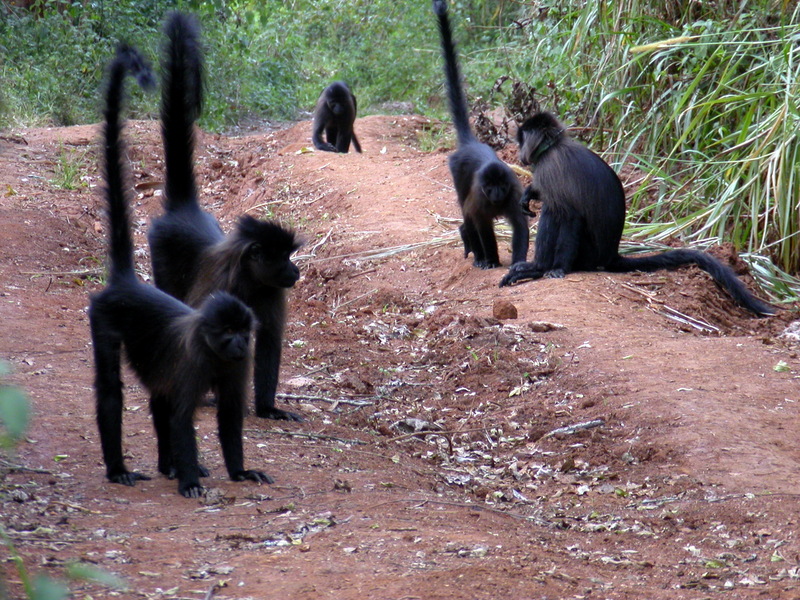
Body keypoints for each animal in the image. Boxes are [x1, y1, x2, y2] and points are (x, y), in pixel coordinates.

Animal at [89, 44, 274, 500]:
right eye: (228, 333)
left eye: (243, 333)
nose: (239, 343)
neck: (213, 352)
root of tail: (127, 281)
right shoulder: (192, 362)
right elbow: (181, 415)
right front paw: (191, 480)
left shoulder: (237, 364)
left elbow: (229, 415)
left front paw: (238, 471)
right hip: (104, 315)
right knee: (113, 390)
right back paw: (122, 468)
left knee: (157, 394)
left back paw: (167, 466)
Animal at [147, 11, 304, 422]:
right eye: (282, 257)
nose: (296, 270)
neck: (250, 279)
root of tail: (184, 211)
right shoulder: (226, 284)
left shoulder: (271, 290)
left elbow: (267, 342)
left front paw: (268, 408)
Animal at [432, 0, 532, 268]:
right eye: (490, 187)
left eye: (501, 186)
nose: (496, 195)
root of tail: (470, 144)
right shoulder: (479, 198)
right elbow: (481, 225)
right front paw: (492, 260)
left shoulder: (513, 192)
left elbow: (520, 226)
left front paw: (518, 263)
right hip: (457, 173)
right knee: (467, 217)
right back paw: (476, 251)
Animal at [500, 113, 776, 318]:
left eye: (521, 139)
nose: (519, 152)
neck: (553, 147)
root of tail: (611, 255)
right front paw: (529, 192)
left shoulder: (551, 168)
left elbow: (570, 216)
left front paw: (548, 269)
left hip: (587, 253)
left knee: (556, 213)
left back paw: (539, 267)